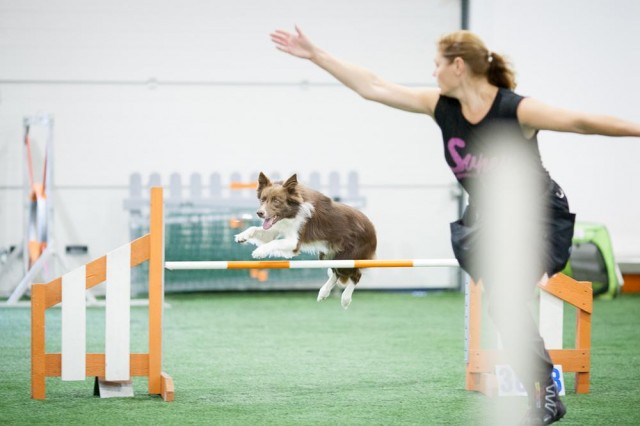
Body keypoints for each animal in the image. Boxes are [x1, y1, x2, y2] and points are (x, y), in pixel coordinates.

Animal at [234, 171, 376, 308]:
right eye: (263, 200)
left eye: (276, 201)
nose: (259, 213)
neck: (293, 212)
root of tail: (372, 229)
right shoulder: (275, 228)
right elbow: (255, 229)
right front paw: (242, 236)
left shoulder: (294, 242)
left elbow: (274, 242)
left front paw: (259, 252)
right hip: (327, 255)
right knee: (336, 273)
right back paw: (323, 292)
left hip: (348, 257)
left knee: (355, 275)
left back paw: (345, 299)